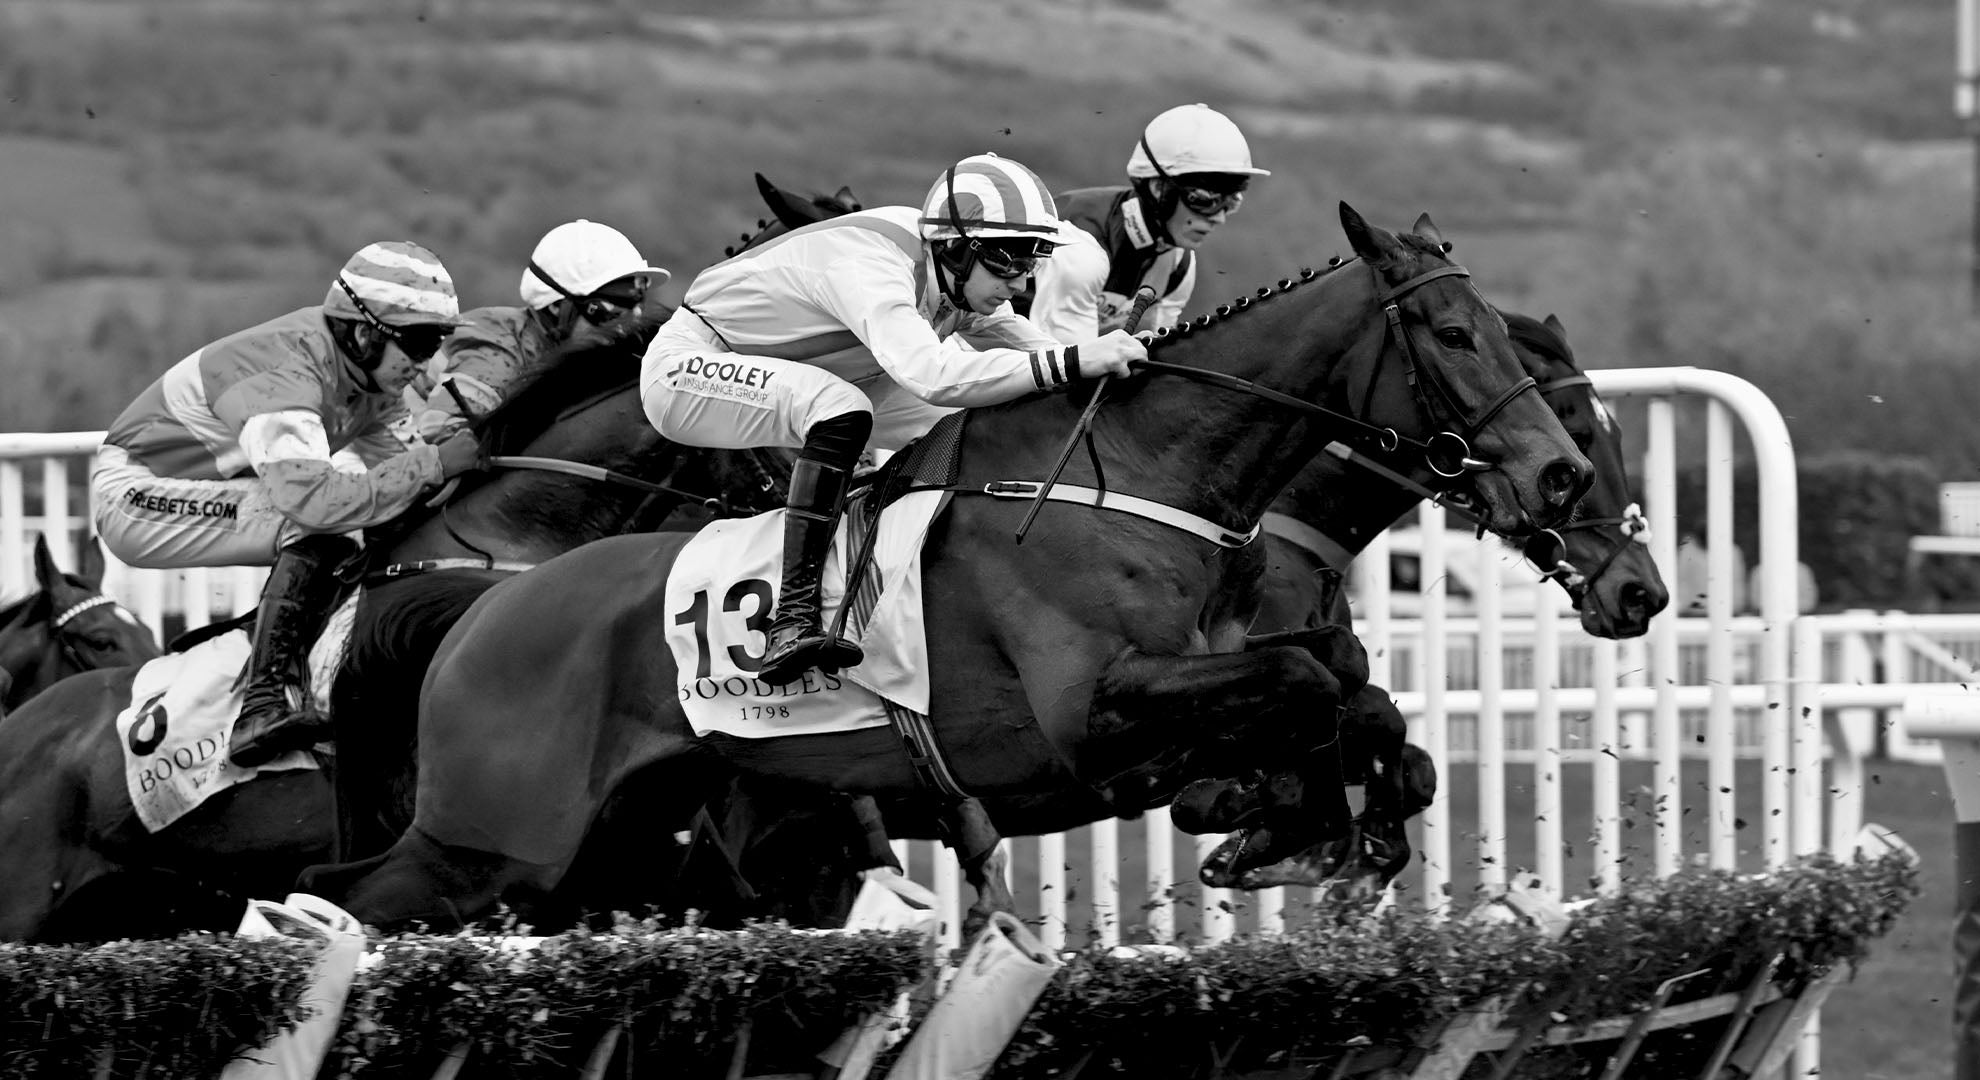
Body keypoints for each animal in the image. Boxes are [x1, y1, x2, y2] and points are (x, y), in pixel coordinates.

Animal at [304, 206, 1591, 931]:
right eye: (1456, 335)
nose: (1562, 478)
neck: (1142, 479)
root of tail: (487, 608)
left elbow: (1348, 688)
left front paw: (1322, 827)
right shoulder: (1094, 714)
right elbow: (1313, 683)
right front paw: (1303, 826)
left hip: (624, 843)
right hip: (495, 837)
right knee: (336, 901)